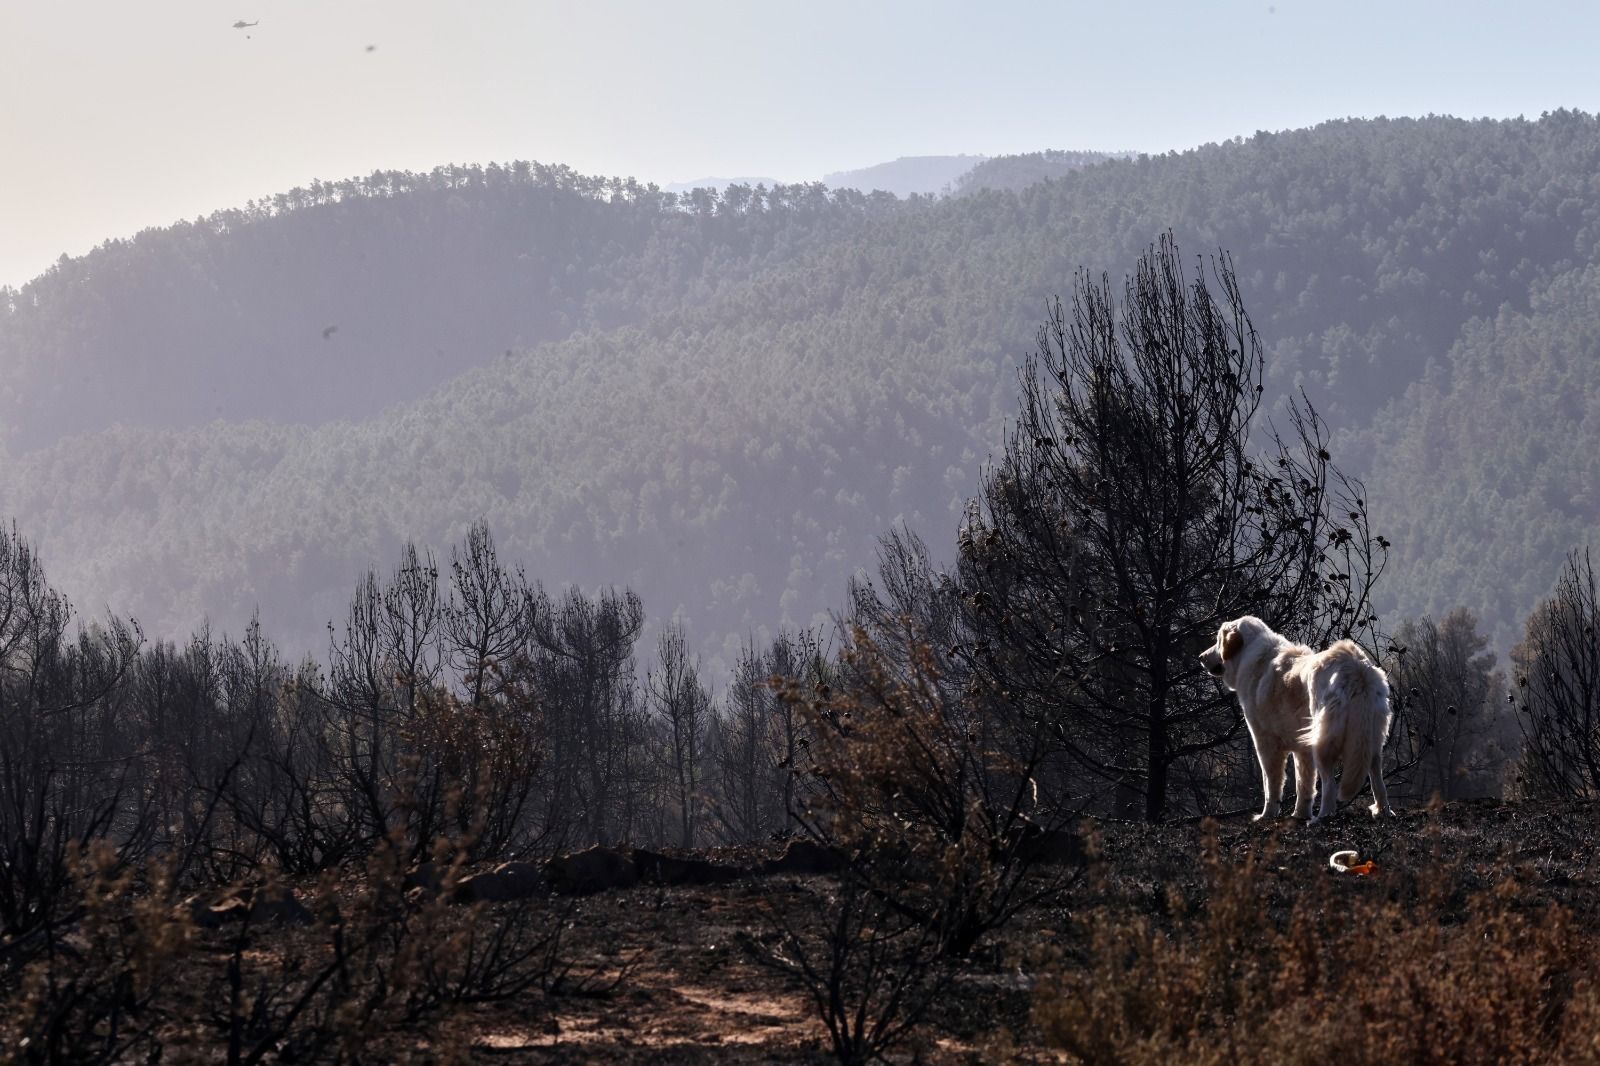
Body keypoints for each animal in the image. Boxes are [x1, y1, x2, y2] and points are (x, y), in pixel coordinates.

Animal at [1196, 614, 1395, 819]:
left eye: (1218, 640)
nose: (1200, 657)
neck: (1251, 655)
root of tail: (1355, 667)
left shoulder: (1266, 743)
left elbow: (1271, 783)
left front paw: (1267, 815)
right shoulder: (1302, 749)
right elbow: (1304, 785)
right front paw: (1300, 814)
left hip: (1323, 741)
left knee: (1330, 785)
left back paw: (1322, 817)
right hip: (1369, 740)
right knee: (1377, 779)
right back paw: (1383, 811)